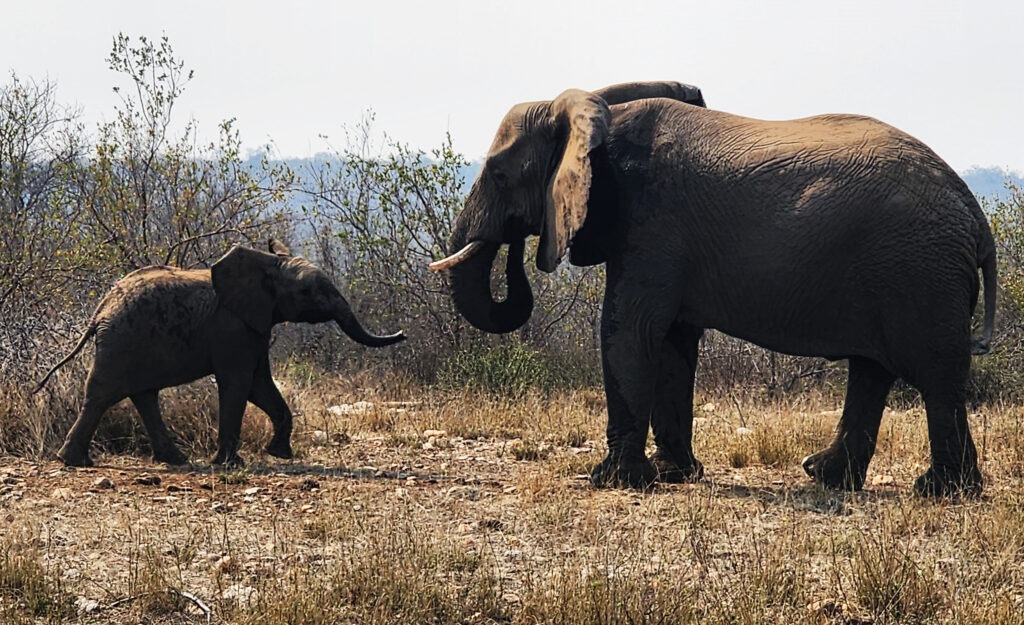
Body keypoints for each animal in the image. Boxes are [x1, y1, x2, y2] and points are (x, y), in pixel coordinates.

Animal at [34, 239, 406, 468]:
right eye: (308, 292)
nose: (402, 333)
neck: (267, 262)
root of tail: (101, 309)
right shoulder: (233, 326)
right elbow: (238, 384)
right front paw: (231, 463)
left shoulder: (255, 326)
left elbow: (258, 385)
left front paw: (279, 454)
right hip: (121, 340)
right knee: (103, 394)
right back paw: (73, 462)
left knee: (143, 394)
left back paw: (174, 460)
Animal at [430, 81, 997, 497]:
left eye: (498, 174)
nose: (517, 248)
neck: (598, 116)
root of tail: (975, 216)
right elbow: (672, 342)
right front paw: (677, 476)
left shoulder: (654, 225)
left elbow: (629, 329)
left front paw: (612, 481)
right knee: (874, 371)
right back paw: (828, 476)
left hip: (920, 273)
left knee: (934, 376)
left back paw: (940, 491)